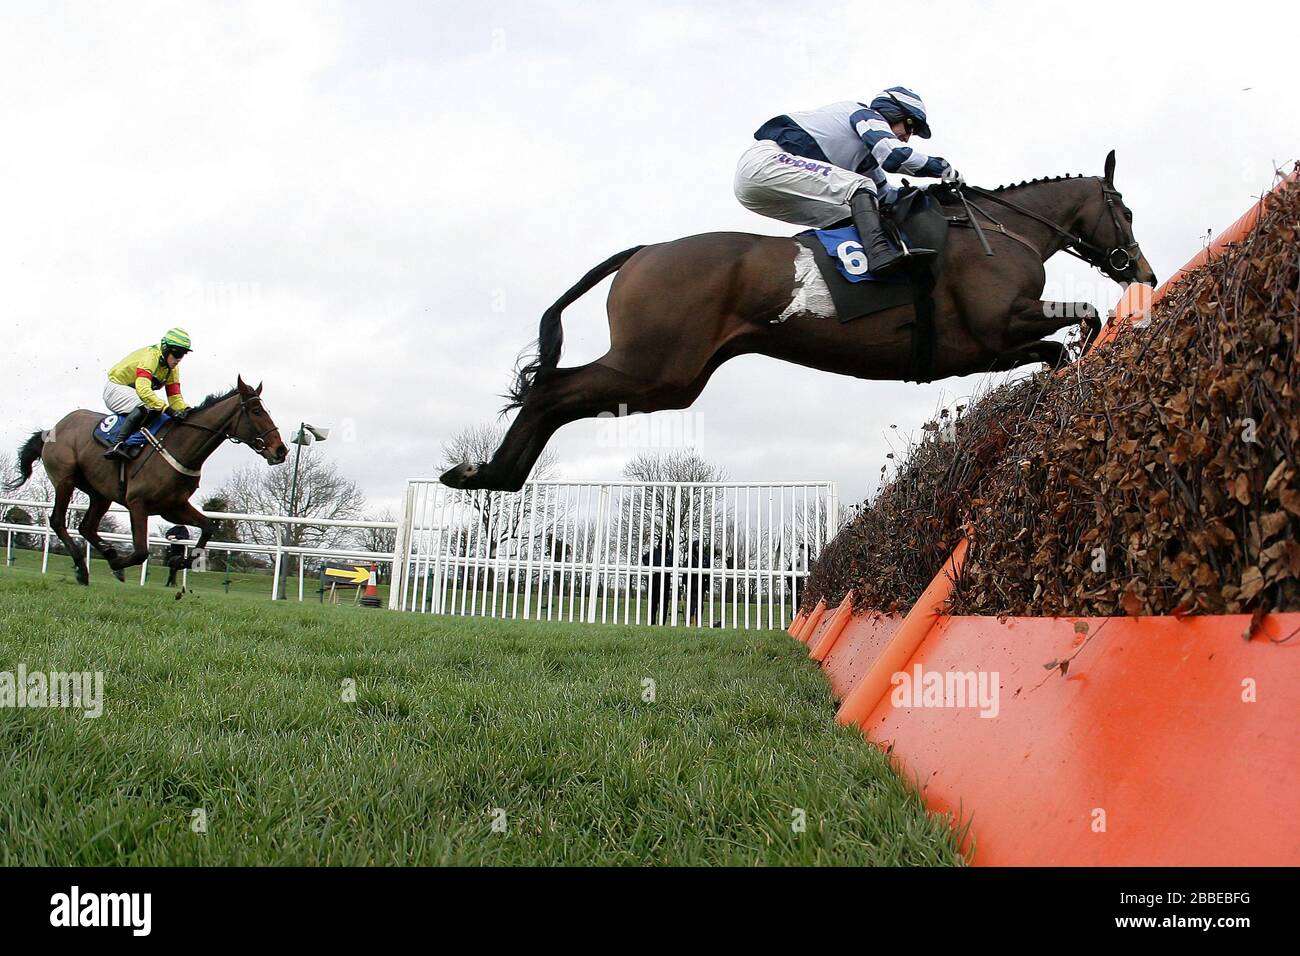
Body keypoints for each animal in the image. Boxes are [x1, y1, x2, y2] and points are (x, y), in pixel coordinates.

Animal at [4, 377, 289, 587]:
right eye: (256, 411)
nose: (281, 450)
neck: (180, 447)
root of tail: (52, 429)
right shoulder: (137, 503)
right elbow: (141, 551)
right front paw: (118, 563)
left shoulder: (172, 507)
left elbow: (208, 527)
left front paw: (178, 562)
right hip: (65, 480)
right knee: (58, 521)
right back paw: (84, 568)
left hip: (100, 493)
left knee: (86, 527)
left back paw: (106, 554)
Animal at [441, 151, 1154, 494]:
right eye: (1125, 210)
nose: (1142, 272)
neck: (996, 232)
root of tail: (644, 251)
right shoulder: (996, 323)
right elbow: (1085, 319)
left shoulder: (981, 350)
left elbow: (1057, 352)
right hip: (655, 368)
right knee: (553, 389)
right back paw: (488, 475)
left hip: (670, 378)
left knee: (558, 396)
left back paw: (492, 476)